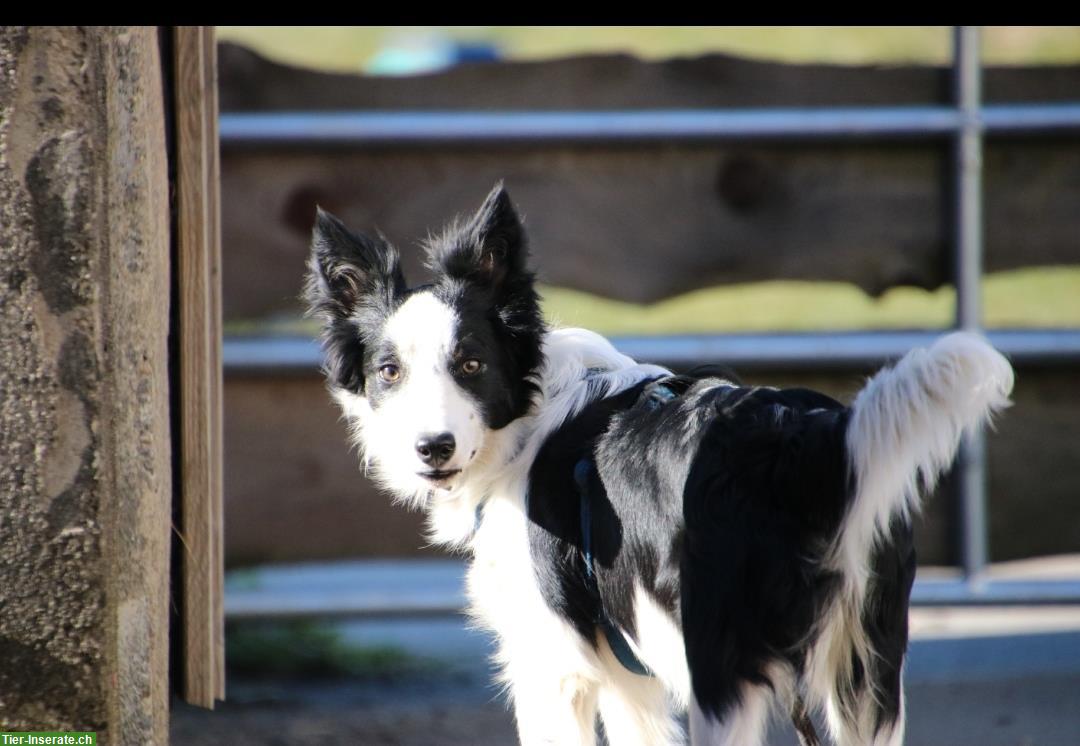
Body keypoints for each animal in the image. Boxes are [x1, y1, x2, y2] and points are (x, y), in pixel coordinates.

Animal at [304, 185, 1010, 746]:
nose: (433, 448)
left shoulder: (553, 665)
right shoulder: (626, 675)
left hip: (722, 675)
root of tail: (810, 440)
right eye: (389, 372)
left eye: (471, 364)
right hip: (865, 672)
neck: (528, 419)